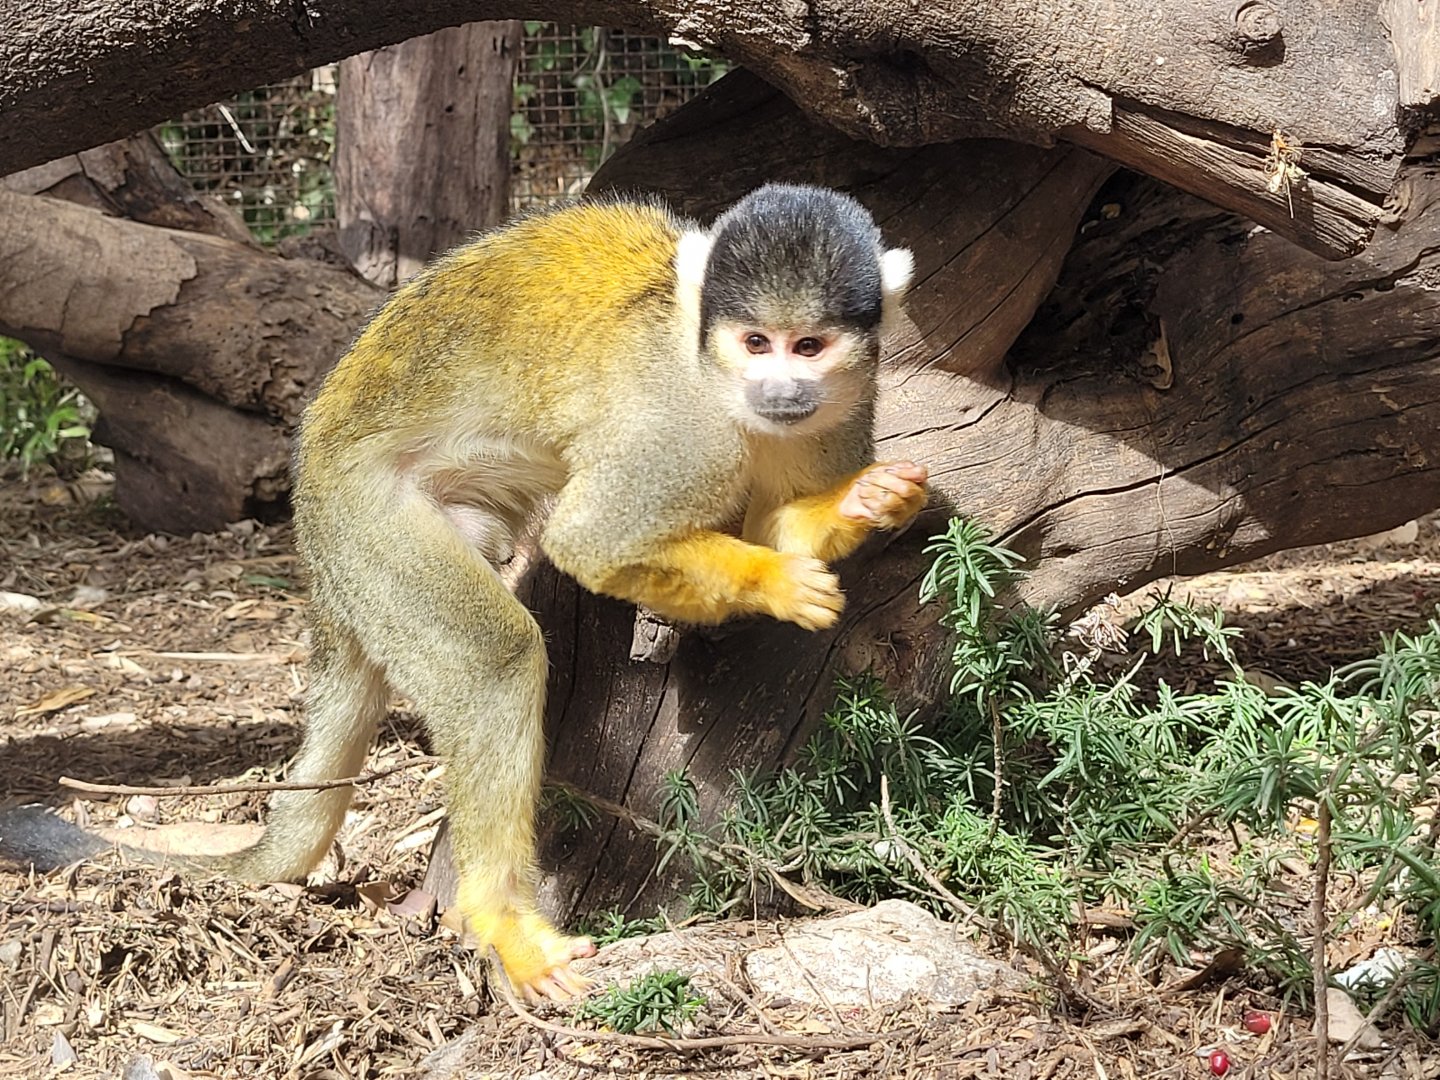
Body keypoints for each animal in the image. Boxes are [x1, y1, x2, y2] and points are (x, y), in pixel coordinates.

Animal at [0, 182, 927, 1001]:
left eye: (809, 347)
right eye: (755, 342)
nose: (782, 391)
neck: (722, 387)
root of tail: (311, 523)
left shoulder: (849, 402)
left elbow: (775, 515)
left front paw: (847, 510)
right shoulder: (679, 430)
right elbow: (592, 541)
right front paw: (774, 583)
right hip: (368, 525)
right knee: (495, 660)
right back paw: (500, 916)